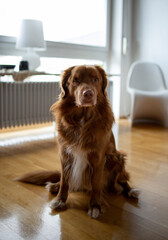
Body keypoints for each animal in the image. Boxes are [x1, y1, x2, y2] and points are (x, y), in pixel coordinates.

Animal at [17, 64, 139, 218]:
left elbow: (96, 185)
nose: (88, 94)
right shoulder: (65, 155)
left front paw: (95, 206)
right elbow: (65, 181)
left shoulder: (99, 159)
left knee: (122, 180)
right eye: (75, 80)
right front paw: (60, 200)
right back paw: (55, 185)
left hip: (118, 157)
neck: (82, 118)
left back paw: (130, 191)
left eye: (95, 79)